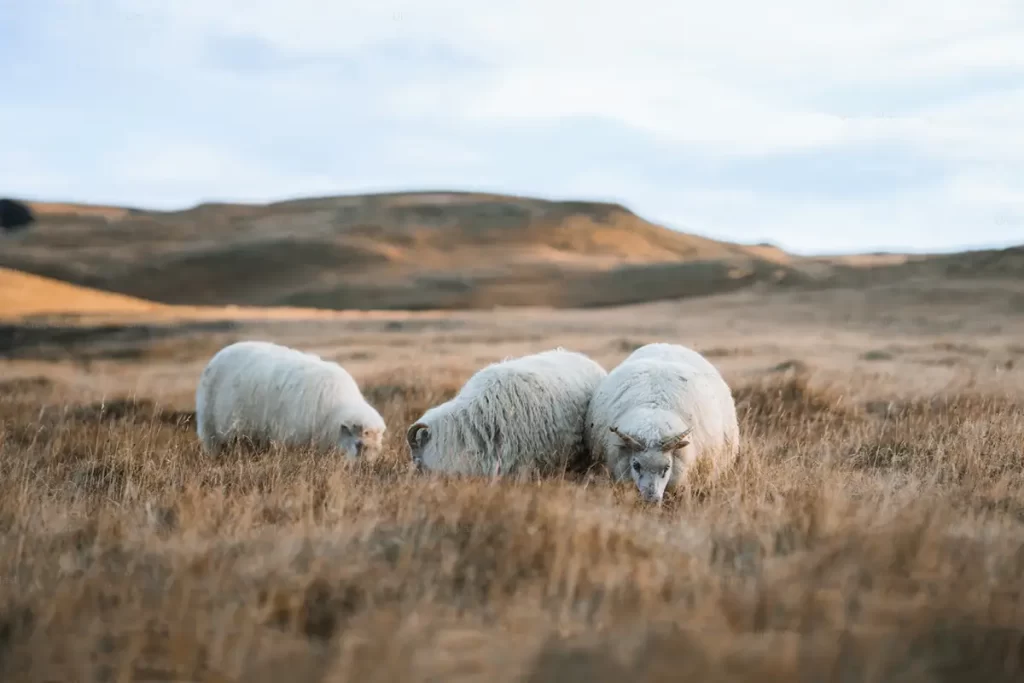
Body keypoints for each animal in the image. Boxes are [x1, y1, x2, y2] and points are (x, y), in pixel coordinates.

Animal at [193, 342, 385, 458]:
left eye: (377, 448)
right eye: (359, 444)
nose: (366, 470)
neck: (333, 412)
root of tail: (221, 352)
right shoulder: (289, 438)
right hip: (210, 429)